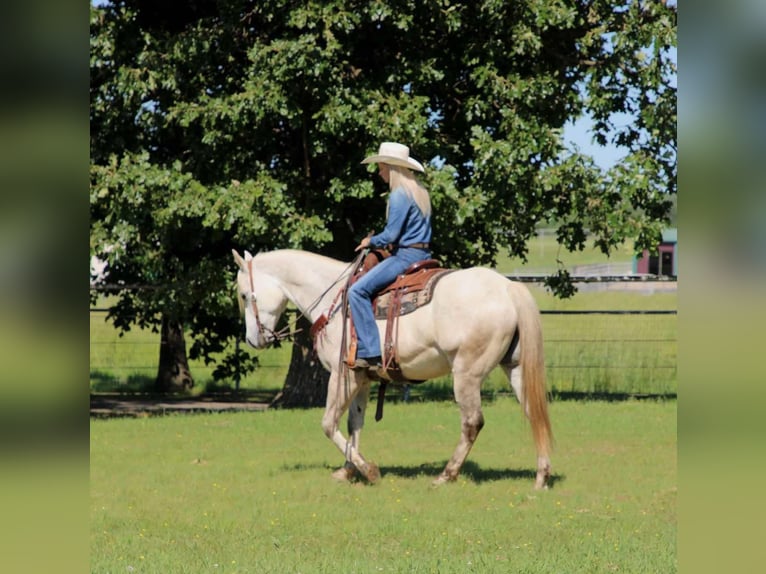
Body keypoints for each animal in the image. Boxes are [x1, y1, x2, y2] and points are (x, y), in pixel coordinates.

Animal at [232, 248, 553, 489]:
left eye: (245, 295)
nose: (253, 339)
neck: (335, 300)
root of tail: (507, 287)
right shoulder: (361, 378)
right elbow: (354, 423)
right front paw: (348, 469)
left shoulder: (342, 375)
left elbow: (328, 423)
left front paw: (368, 470)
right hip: (514, 368)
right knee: (534, 412)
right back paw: (541, 476)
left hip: (467, 374)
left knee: (472, 422)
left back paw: (446, 475)